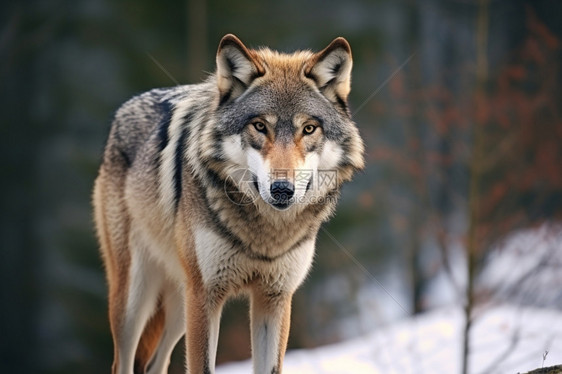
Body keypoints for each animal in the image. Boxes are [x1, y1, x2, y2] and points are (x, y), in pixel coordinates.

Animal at [93, 35, 364, 374]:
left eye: (309, 129)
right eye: (260, 126)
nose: (282, 190)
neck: (266, 236)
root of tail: (122, 112)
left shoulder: (274, 297)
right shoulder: (206, 295)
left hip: (179, 303)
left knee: (156, 363)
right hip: (136, 299)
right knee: (123, 362)